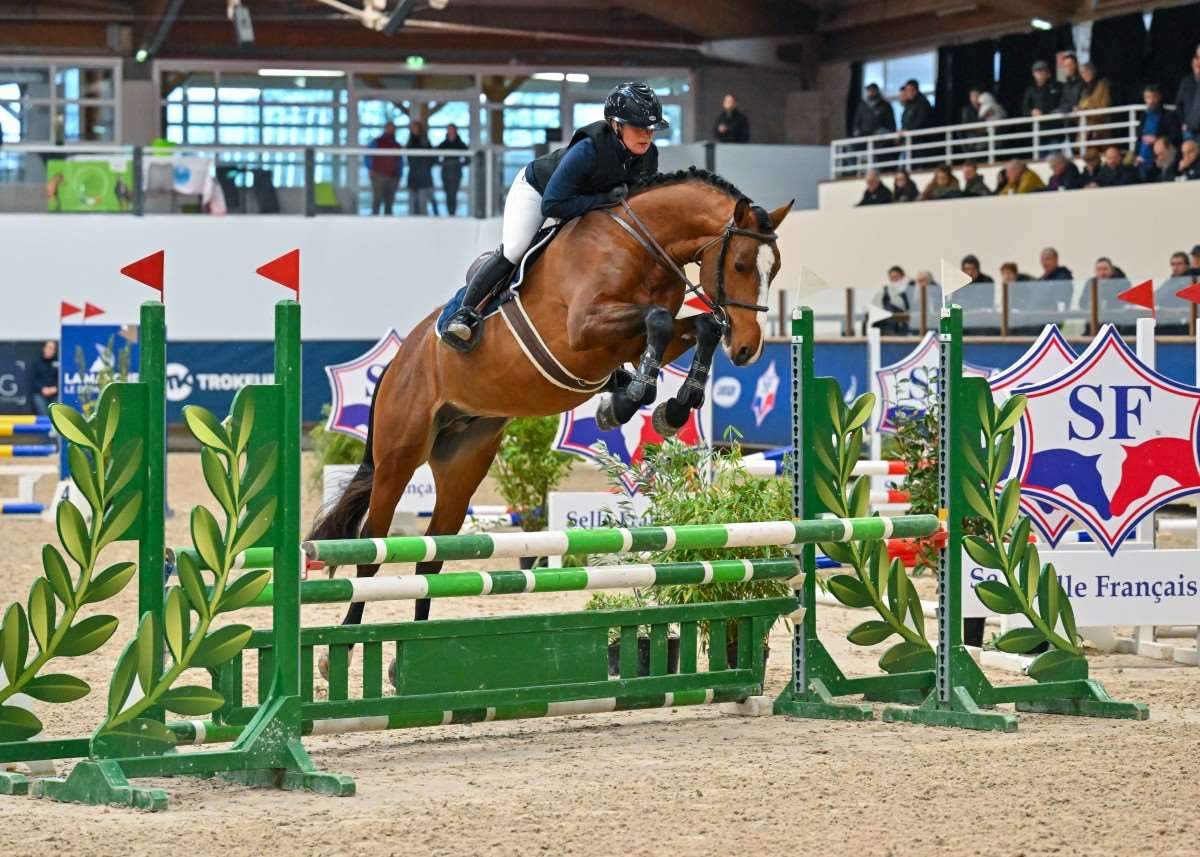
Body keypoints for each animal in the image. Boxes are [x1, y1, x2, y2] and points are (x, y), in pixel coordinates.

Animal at [309, 168, 792, 633]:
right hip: (399, 455)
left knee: (433, 553)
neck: (640, 245)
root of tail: (397, 362)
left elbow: (700, 326)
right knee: (372, 546)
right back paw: (352, 634)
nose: (748, 349)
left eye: (776, 269)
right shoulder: (585, 330)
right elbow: (658, 321)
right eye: (742, 264)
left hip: (462, 461)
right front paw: (627, 402)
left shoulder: (640, 339)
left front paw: (668, 408)